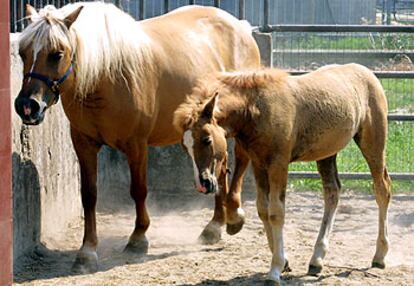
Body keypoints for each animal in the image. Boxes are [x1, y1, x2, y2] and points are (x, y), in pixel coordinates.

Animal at [14, 2, 260, 274]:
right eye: (22, 53)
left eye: (57, 54)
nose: (27, 106)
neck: (106, 75)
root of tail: (241, 27)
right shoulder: (83, 143)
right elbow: (89, 195)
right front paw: (87, 252)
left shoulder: (137, 145)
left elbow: (138, 190)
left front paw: (138, 239)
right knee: (219, 165)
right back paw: (215, 226)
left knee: (240, 160)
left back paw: (234, 215)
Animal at [174, 63, 392, 284]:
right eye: (185, 146)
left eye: (207, 140)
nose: (203, 184)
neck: (256, 109)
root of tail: (366, 72)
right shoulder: (259, 164)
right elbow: (263, 209)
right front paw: (284, 262)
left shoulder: (279, 164)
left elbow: (276, 212)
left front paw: (275, 270)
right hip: (326, 153)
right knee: (332, 193)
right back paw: (317, 259)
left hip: (373, 143)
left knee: (382, 189)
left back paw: (379, 256)